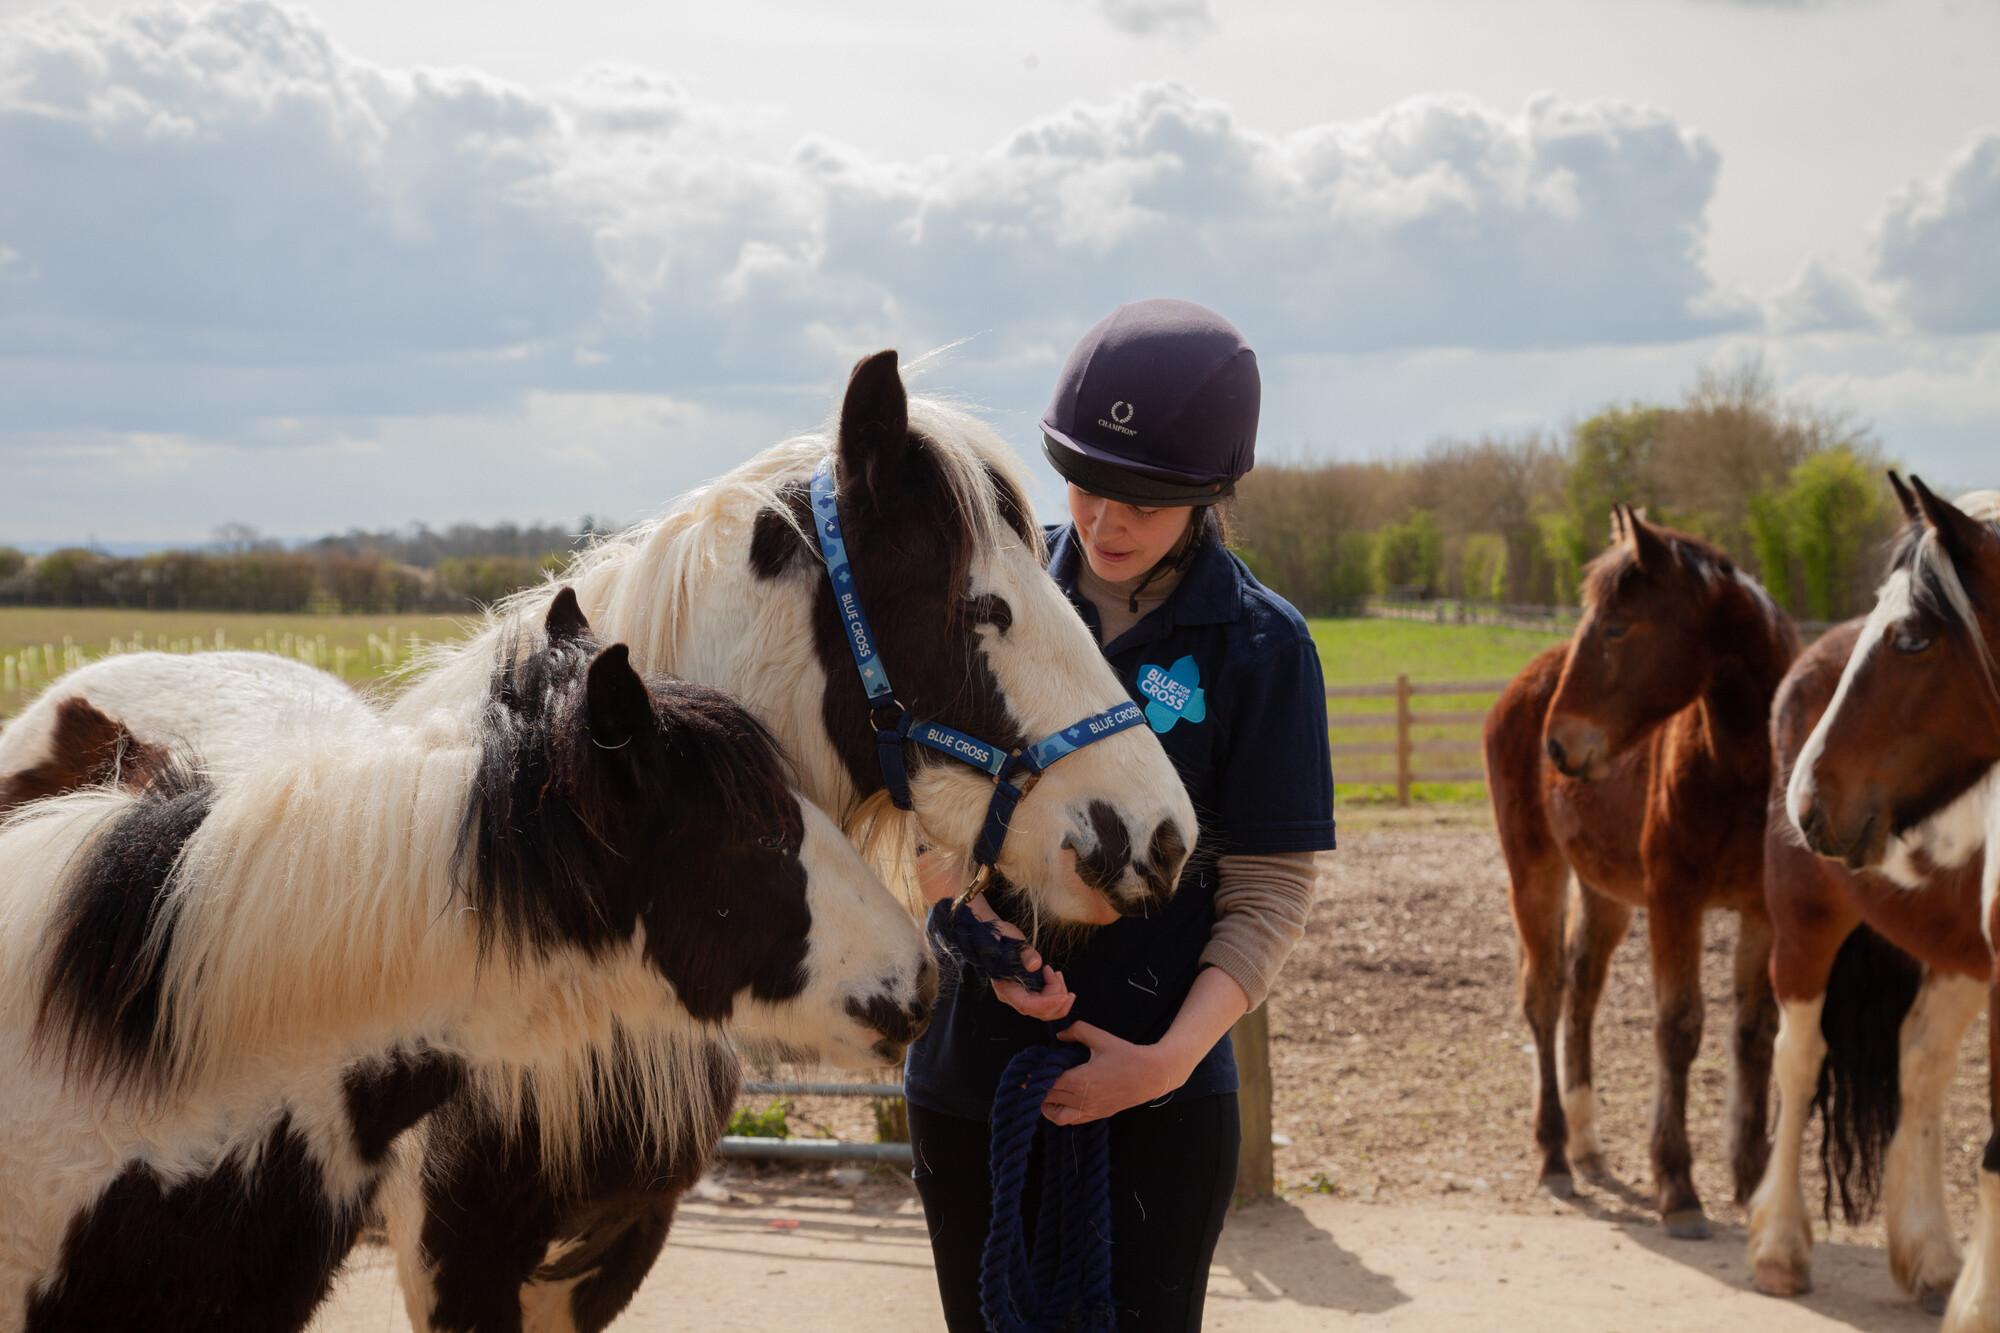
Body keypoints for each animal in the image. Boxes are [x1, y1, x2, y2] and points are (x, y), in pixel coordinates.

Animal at [1483, 505, 1797, 1236]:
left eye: (1618, 626)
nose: (1558, 743)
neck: (1738, 766)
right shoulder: (1675, 901)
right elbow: (1679, 1029)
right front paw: (1679, 1187)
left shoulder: (1762, 911)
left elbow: (1754, 1034)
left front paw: (1751, 1179)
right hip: (1536, 874)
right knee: (1543, 995)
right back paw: (1555, 1156)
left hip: (1606, 894)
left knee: (1581, 992)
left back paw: (1586, 1143)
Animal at [1760, 477, 2000, 1328]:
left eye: (1912, 639)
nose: (1807, 796)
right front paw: (1981, 1307)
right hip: (1804, 927)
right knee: (1798, 1059)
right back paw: (1778, 1247)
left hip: (1960, 955)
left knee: (1920, 1062)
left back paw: (1928, 1255)